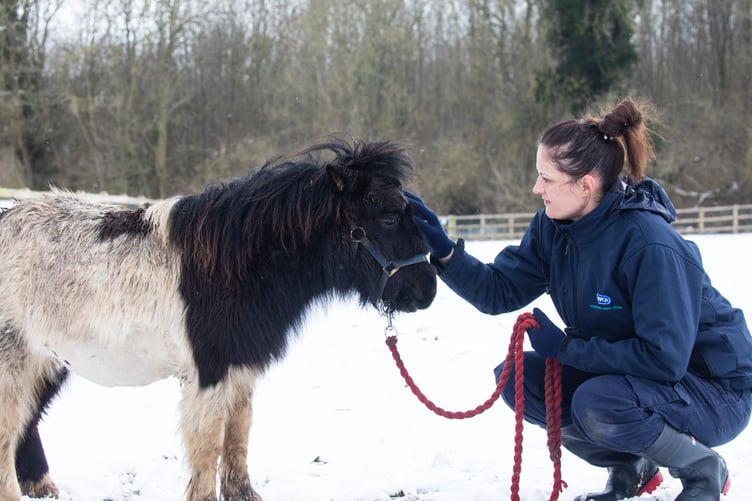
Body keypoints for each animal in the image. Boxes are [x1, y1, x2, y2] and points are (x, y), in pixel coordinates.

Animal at [0, 138, 437, 501]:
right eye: (388, 218)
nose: (426, 290)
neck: (234, 266)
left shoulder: (240, 367)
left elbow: (238, 435)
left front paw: (242, 494)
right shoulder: (208, 372)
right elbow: (208, 443)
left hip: (47, 361)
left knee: (27, 425)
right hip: (15, 361)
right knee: (9, 430)